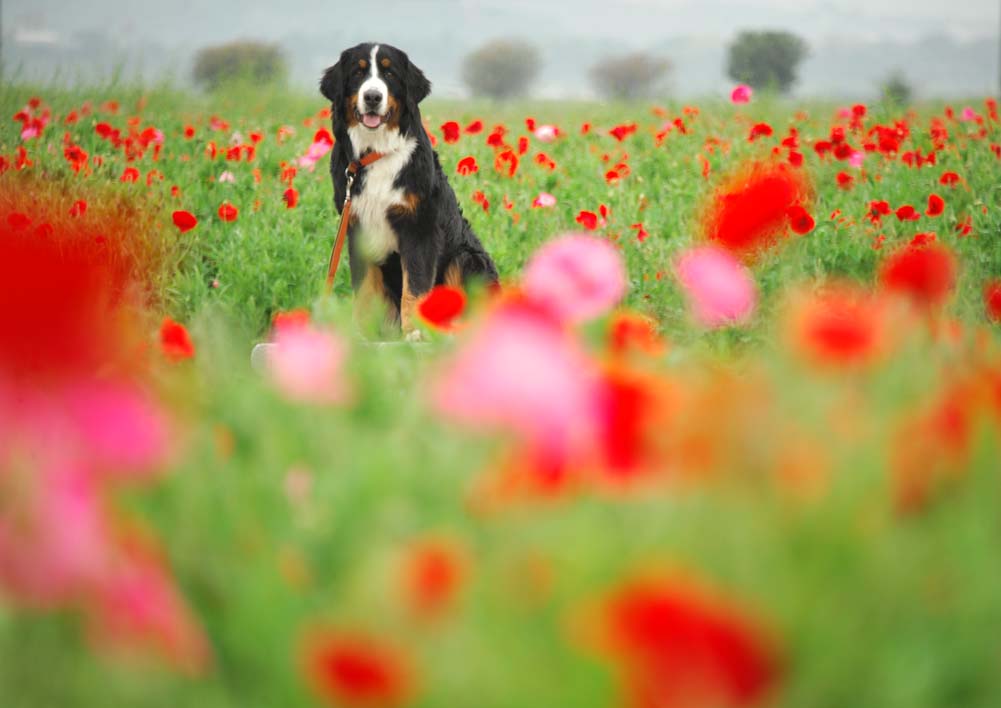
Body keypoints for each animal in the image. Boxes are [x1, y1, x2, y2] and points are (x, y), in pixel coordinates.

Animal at [320, 42, 496, 340]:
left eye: (390, 74)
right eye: (358, 72)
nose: (373, 97)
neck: (376, 153)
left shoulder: (418, 225)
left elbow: (414, 285)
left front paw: (414, 332)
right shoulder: (356, 228)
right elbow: (365, 289)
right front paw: (363, 333)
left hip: (466, 257)